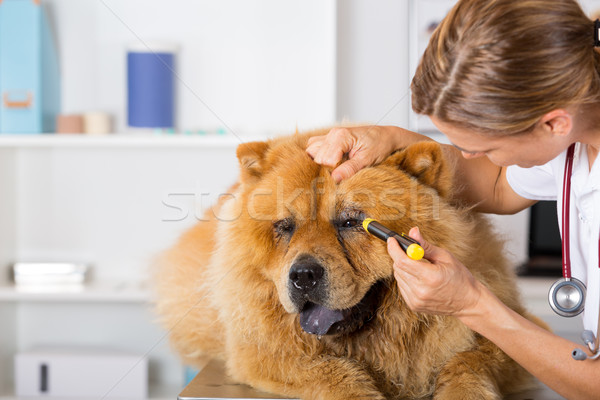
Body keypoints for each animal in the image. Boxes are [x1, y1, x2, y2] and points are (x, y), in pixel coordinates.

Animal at [155, 130, 544, 398]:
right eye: (285, 227)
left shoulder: (505, 329)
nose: (303, 274)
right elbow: (330, 371)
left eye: (350, 222)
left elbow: (468, 363)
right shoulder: (261, 351)